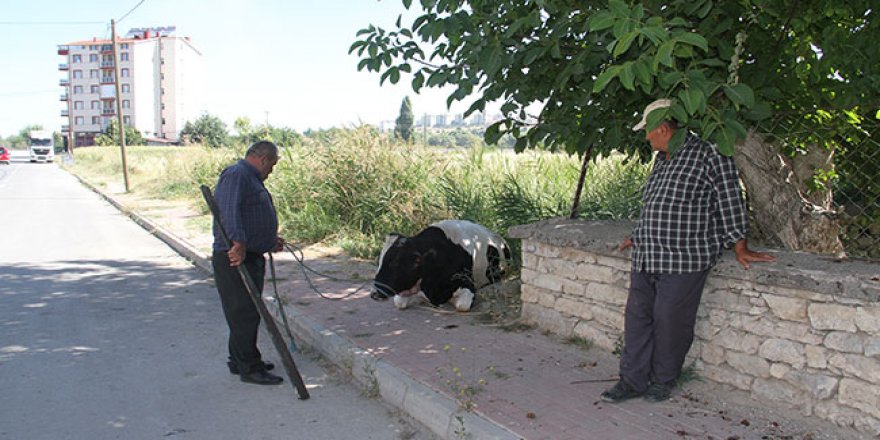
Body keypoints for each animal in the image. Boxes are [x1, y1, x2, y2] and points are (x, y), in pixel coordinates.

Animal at [370, 220, 508, 312]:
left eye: (395, 262)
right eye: (380, 260)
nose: (374, 293)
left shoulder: (467, 283)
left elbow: (462, 306)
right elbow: (399, 303)